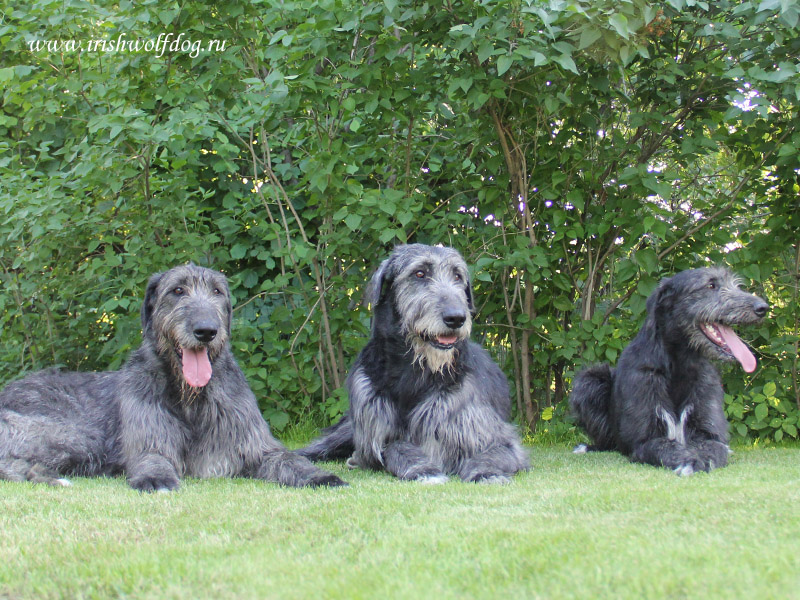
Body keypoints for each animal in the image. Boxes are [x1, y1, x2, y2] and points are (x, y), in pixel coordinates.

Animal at [0, 264, 346, 490]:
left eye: (217, 291)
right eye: (177, 291)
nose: (206, 331)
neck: (191, 398)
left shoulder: (252, 443)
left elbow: (287, 458)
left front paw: (319, 475)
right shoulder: (149, 439)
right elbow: (153, 457)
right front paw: (156, 478)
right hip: (74, 437)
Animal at [296, 244, 528, 482]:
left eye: (457, 275)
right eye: (419, 273)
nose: (456, 318)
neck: (417, 370)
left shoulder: (491, 435)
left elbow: (490, 453)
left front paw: (486, 472)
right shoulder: (374, 436)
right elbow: (394, 447)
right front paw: (423, 469)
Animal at [568, 268, 768, 474]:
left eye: (736, 285)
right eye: (711, 285)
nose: (763, 308)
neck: (679, 366)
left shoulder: (710, 431)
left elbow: (714, 448)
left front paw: (702, 459)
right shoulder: (645, 439)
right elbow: (665, 447)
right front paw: (688, 460)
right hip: (590, 380)